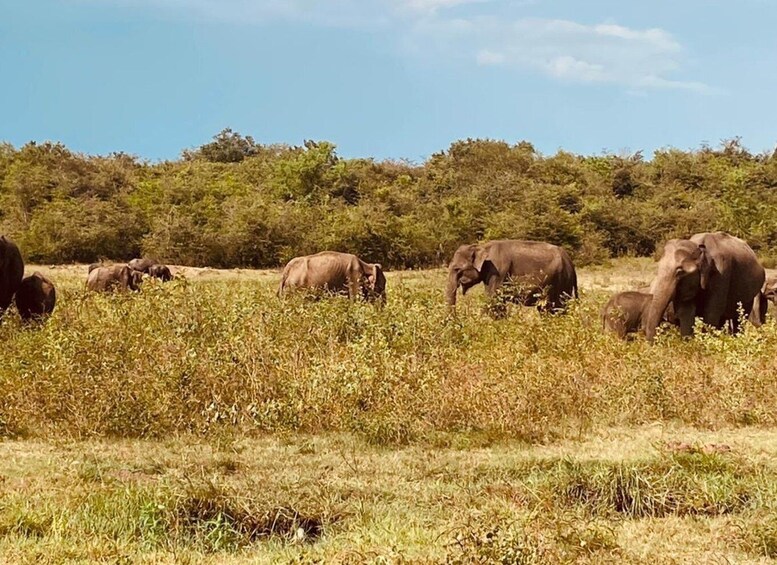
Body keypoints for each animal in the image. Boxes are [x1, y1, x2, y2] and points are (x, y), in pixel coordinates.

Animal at [442, 239, 576, 312]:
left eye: (457, 269)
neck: (482, 247)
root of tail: (570, 260)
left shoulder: (498, 270)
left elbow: (492, 298)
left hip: (562, 281)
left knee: (559, 307)